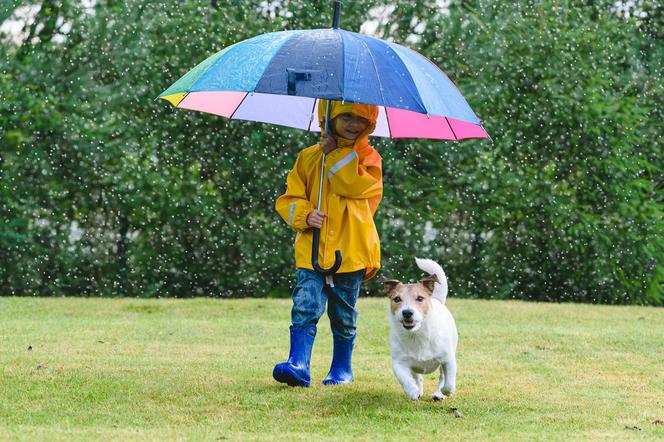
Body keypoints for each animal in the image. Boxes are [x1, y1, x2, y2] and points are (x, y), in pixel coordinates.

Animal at [378, 258, 456, 402]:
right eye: (397, 299)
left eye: (420, 298)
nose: (407, 312)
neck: (417, 334)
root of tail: (437, 299)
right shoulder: (399, 363)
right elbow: (405, 380)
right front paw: (413, 392)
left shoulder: (448, 359)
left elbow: (448, 382)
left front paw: (445, 391)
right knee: (417, 377)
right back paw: (418, 389)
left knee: (442, 376)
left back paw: (439, 393)